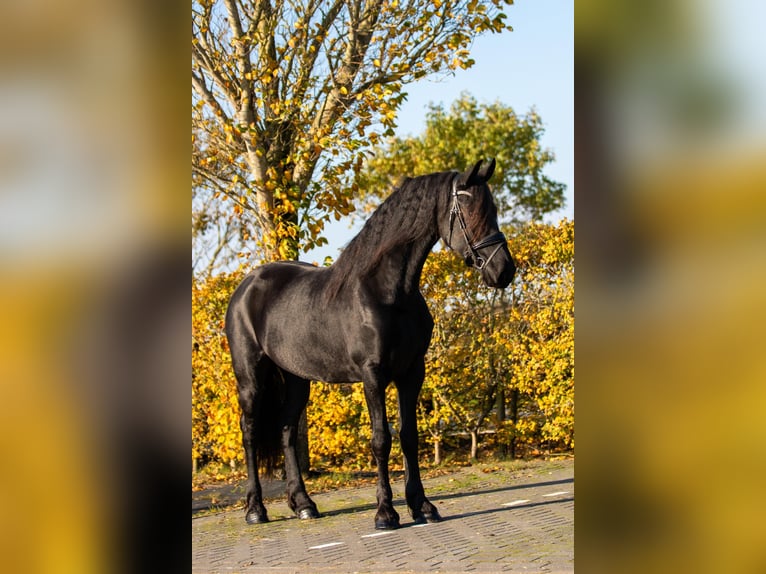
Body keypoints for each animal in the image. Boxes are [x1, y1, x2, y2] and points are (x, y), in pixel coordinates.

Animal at [228, 158, 516, 532]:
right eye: (468, 210)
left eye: (492, 209)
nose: (504, 270)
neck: (387, 291)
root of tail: (247, 285)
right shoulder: (373, 375)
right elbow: (381, 440)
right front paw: (385, 513)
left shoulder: (413, 372)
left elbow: (409, 436)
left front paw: (422, 506)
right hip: (250, 377)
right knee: (249, 433)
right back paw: (255, 510)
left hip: (296, 379)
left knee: (287, 431)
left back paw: (304, 504)